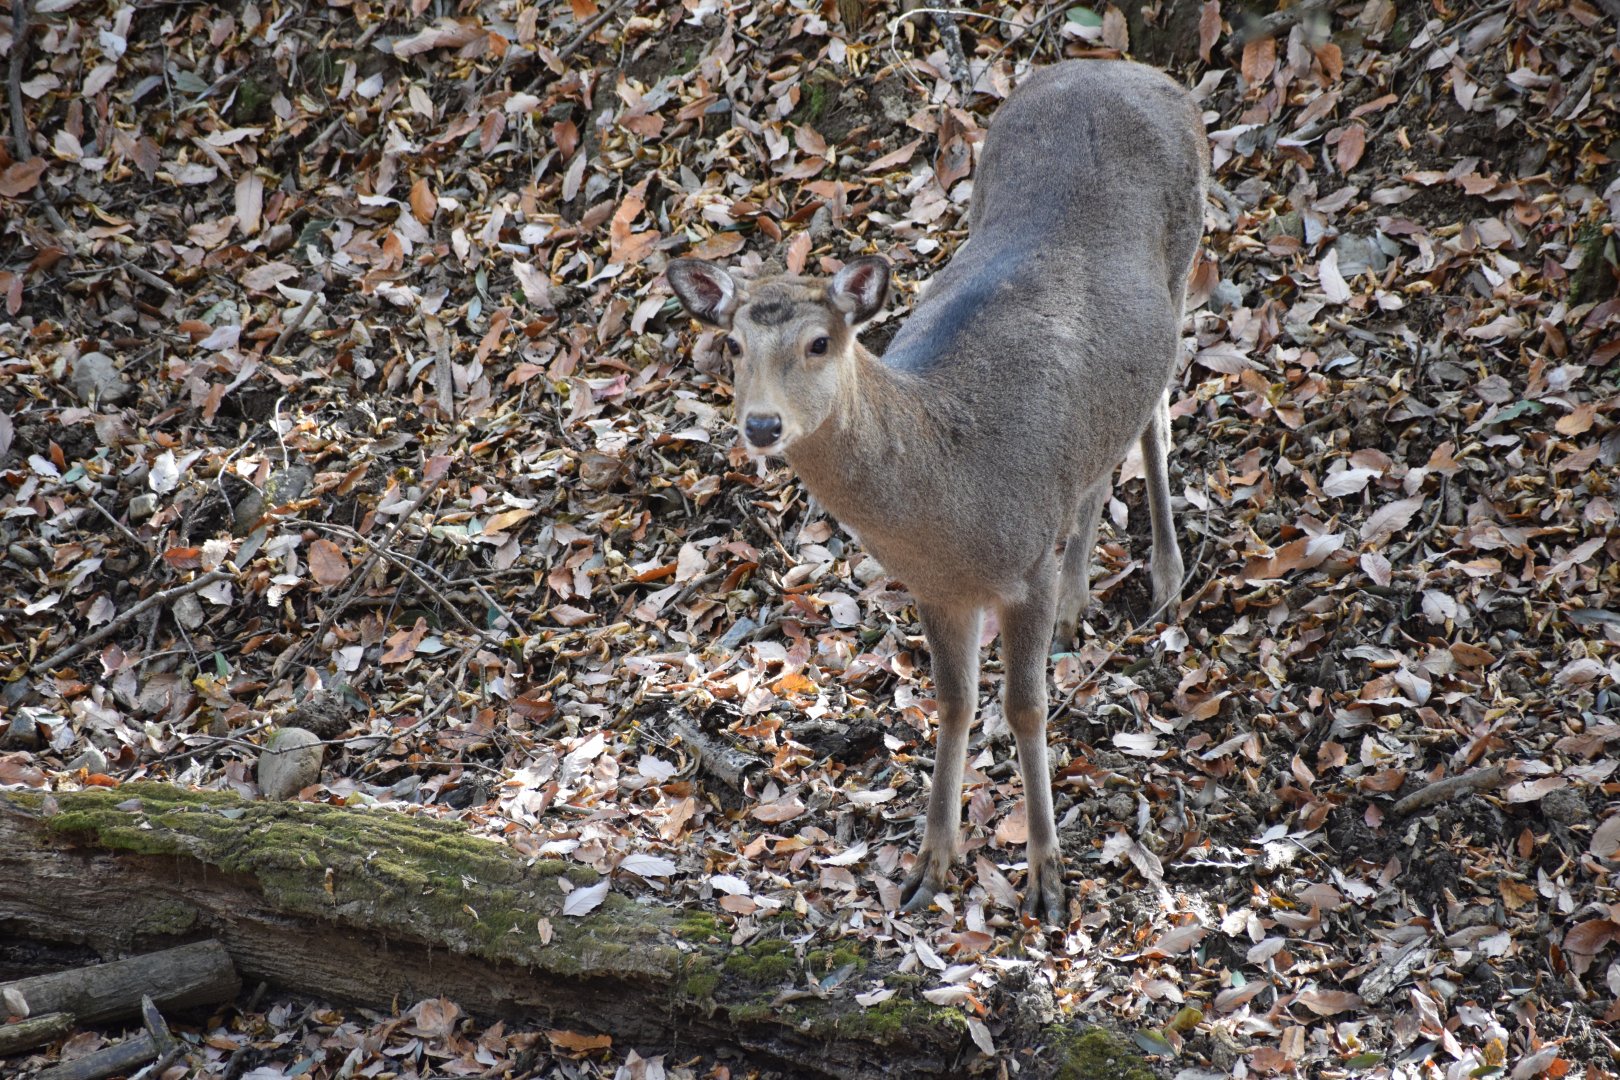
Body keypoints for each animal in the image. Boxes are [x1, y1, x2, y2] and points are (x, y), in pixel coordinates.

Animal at [666, 60, 1208, 923]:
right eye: (734, 345)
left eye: (820, 342)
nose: (761, 425)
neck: (956, 505)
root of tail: (1141, 71)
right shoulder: (934, 587)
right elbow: (951, 702)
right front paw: (931, 864)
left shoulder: (1023, 568)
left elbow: (1024, 706)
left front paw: (1048, 878)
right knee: (1105, 452)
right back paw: (1083, 596)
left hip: (1188, 251)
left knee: (1158, 404)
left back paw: (1164, 577)